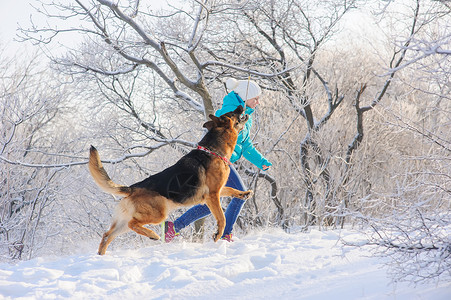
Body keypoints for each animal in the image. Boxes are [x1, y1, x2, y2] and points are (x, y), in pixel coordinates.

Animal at [89, 106, 254, 255]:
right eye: (232, 113)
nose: (241, 105)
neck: (214, 149)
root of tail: (132, 188)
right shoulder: (212, 195)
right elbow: (222, 218)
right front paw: (218, 234)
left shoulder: (218, 191)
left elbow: (231, 190)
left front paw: (244, 194)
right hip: (157, 214)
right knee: (132, 224)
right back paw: (153, 235)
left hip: (123, 222)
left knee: (107, 235)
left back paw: (101, 256)